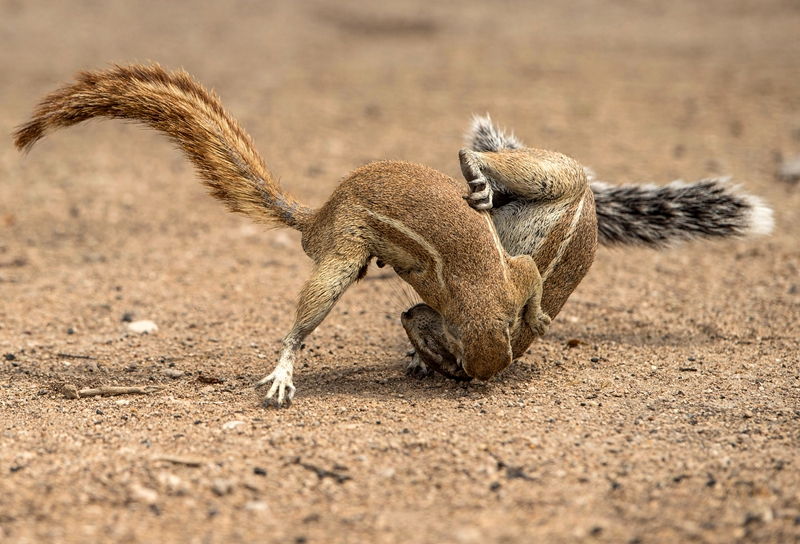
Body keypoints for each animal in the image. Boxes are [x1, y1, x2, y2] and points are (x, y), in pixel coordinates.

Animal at [12, 62, 552, 404]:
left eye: (504, 342)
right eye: (457, 351)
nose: (473, 379)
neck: (476, 294)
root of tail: (320, 214)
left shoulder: (512, 280)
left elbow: (529, 274)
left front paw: (539, 319)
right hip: (341, 256)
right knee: (305, 318)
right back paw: (282, 372)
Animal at [404, 115, 772, 378]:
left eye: (442, 343)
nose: (407, 317)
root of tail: (591, 197)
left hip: (554, 174)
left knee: (515, 168)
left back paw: (475, 166)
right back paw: (481, 183)